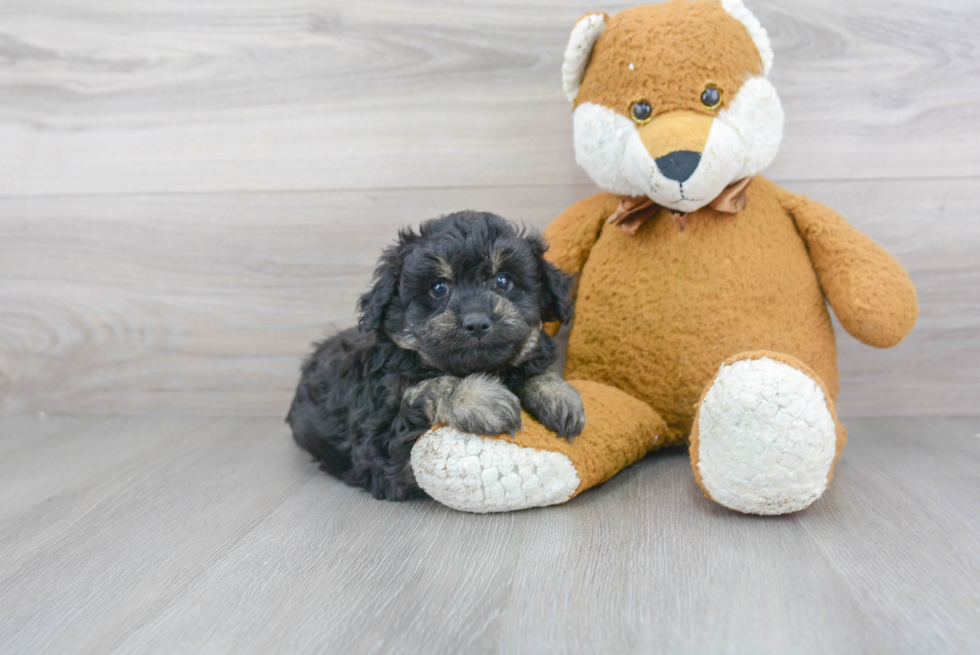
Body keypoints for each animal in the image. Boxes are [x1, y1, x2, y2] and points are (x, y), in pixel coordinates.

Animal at [288, 213, 584, 500]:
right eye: (439, 288)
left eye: (503, 281)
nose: (477, 322)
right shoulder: (383, 442)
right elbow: (428, 389)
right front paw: (480, 397)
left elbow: (531, 369)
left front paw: (558, 394)